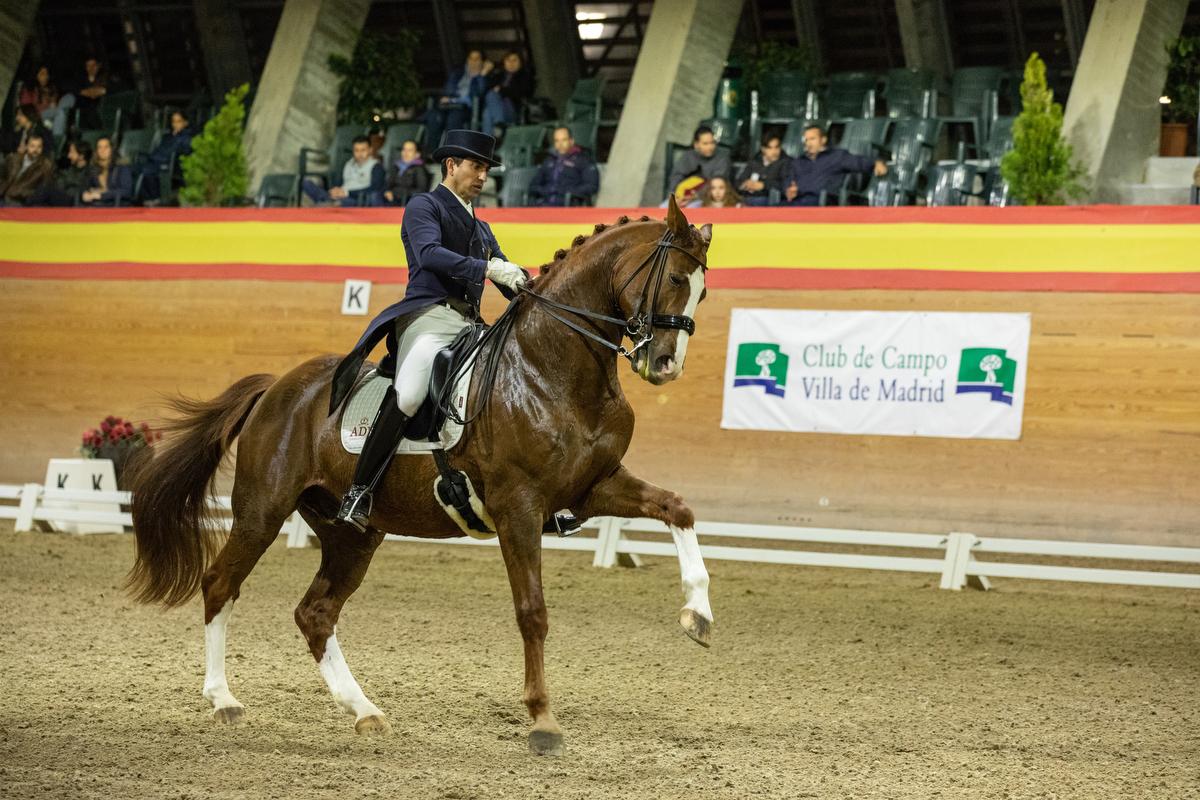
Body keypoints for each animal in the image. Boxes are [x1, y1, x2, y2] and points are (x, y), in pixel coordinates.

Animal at [129, 194, 710, 758]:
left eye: (702, 293)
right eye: (675, 279)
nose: (664, 364)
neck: (550, 368)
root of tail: (277, 387)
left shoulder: (593, 487)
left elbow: (678, 507)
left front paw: (697, 615)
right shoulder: (518, 506)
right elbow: (533, 611)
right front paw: (543, 721)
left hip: (351, 533)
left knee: (315, 612)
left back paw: (363, 710)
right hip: (262, 511)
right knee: (221, 583)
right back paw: (223, 699)